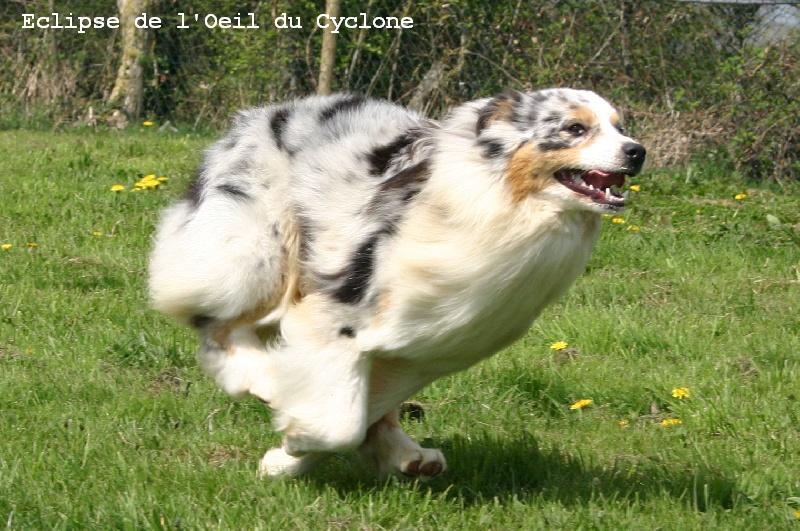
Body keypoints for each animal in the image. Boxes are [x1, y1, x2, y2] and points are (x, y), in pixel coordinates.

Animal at [148, 89, 644, 480]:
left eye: (620, 127)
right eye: (575, 128)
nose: (637, 151)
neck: (502, 203)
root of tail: (258, 115)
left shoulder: (426, 345)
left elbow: (362, 408)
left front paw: (287, 457)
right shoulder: (333, 316)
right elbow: (338, 423)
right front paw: (292, 440)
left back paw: (410, 456)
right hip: (258, 255)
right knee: (218, 328)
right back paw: (262, 377)